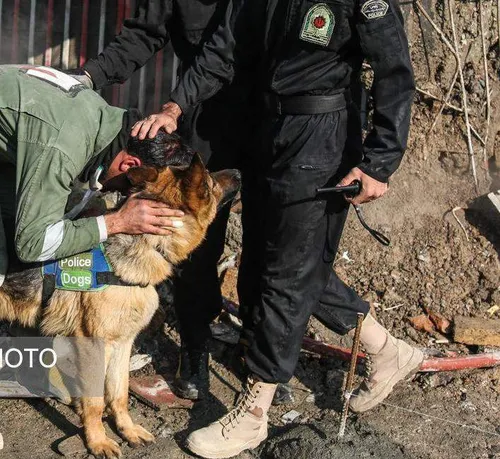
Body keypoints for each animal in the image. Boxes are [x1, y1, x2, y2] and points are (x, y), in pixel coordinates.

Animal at [0, 149, 240, 458]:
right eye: (210, 181)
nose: (239, 171)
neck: (148, 244)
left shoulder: (123, 343)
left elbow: (119, 393)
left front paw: (127, 429)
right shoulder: (92, 345)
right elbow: (94, 401)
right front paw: (97, 441)